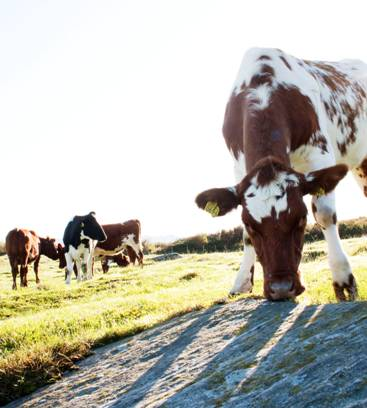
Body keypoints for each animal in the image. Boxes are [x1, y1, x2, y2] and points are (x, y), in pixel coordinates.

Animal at [197, 47, 367, 302]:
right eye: (251, 225)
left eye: (301, 219)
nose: (281, 288)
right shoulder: (239, 167)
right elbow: (243, 236)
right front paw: (241, 282)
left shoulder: (320, 154)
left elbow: (325, 214)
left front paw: (343, 280)